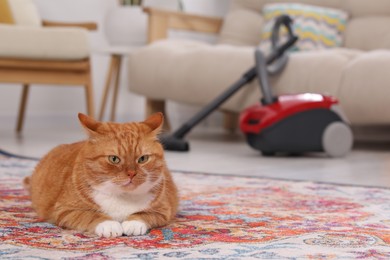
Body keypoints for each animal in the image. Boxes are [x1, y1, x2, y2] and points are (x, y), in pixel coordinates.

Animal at [23, 112, 178, 238]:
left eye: (143, 159)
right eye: (114, 159)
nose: (131, 173)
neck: (122, 197)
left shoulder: (164, 210)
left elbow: (144, 214)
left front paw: (133, 223)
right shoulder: (65, 210)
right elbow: (90, 215)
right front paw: (109, 224)